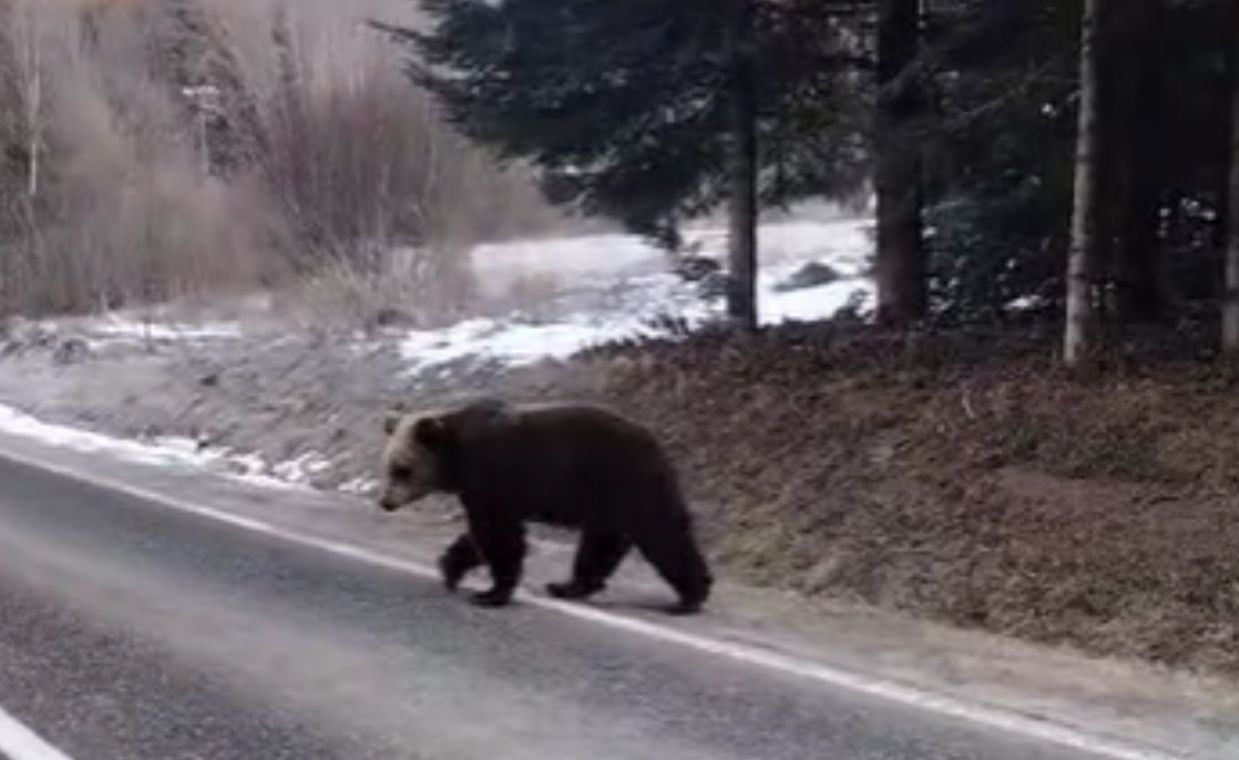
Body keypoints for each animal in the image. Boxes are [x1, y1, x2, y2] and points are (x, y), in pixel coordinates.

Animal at [376, 399, 713, 612]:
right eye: (388, 466)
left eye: (403, 468)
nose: (385, 502)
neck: (457, 459)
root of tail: (656, 442)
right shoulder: (485, 491)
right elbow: (482, 535)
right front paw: (451, 567)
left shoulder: (493, 477)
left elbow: (499, 536)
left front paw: (490, 593)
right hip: (608, 500)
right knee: (602, 543)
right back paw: (567, 586)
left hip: (623, 481)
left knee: (662, 534)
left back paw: (691, 596)